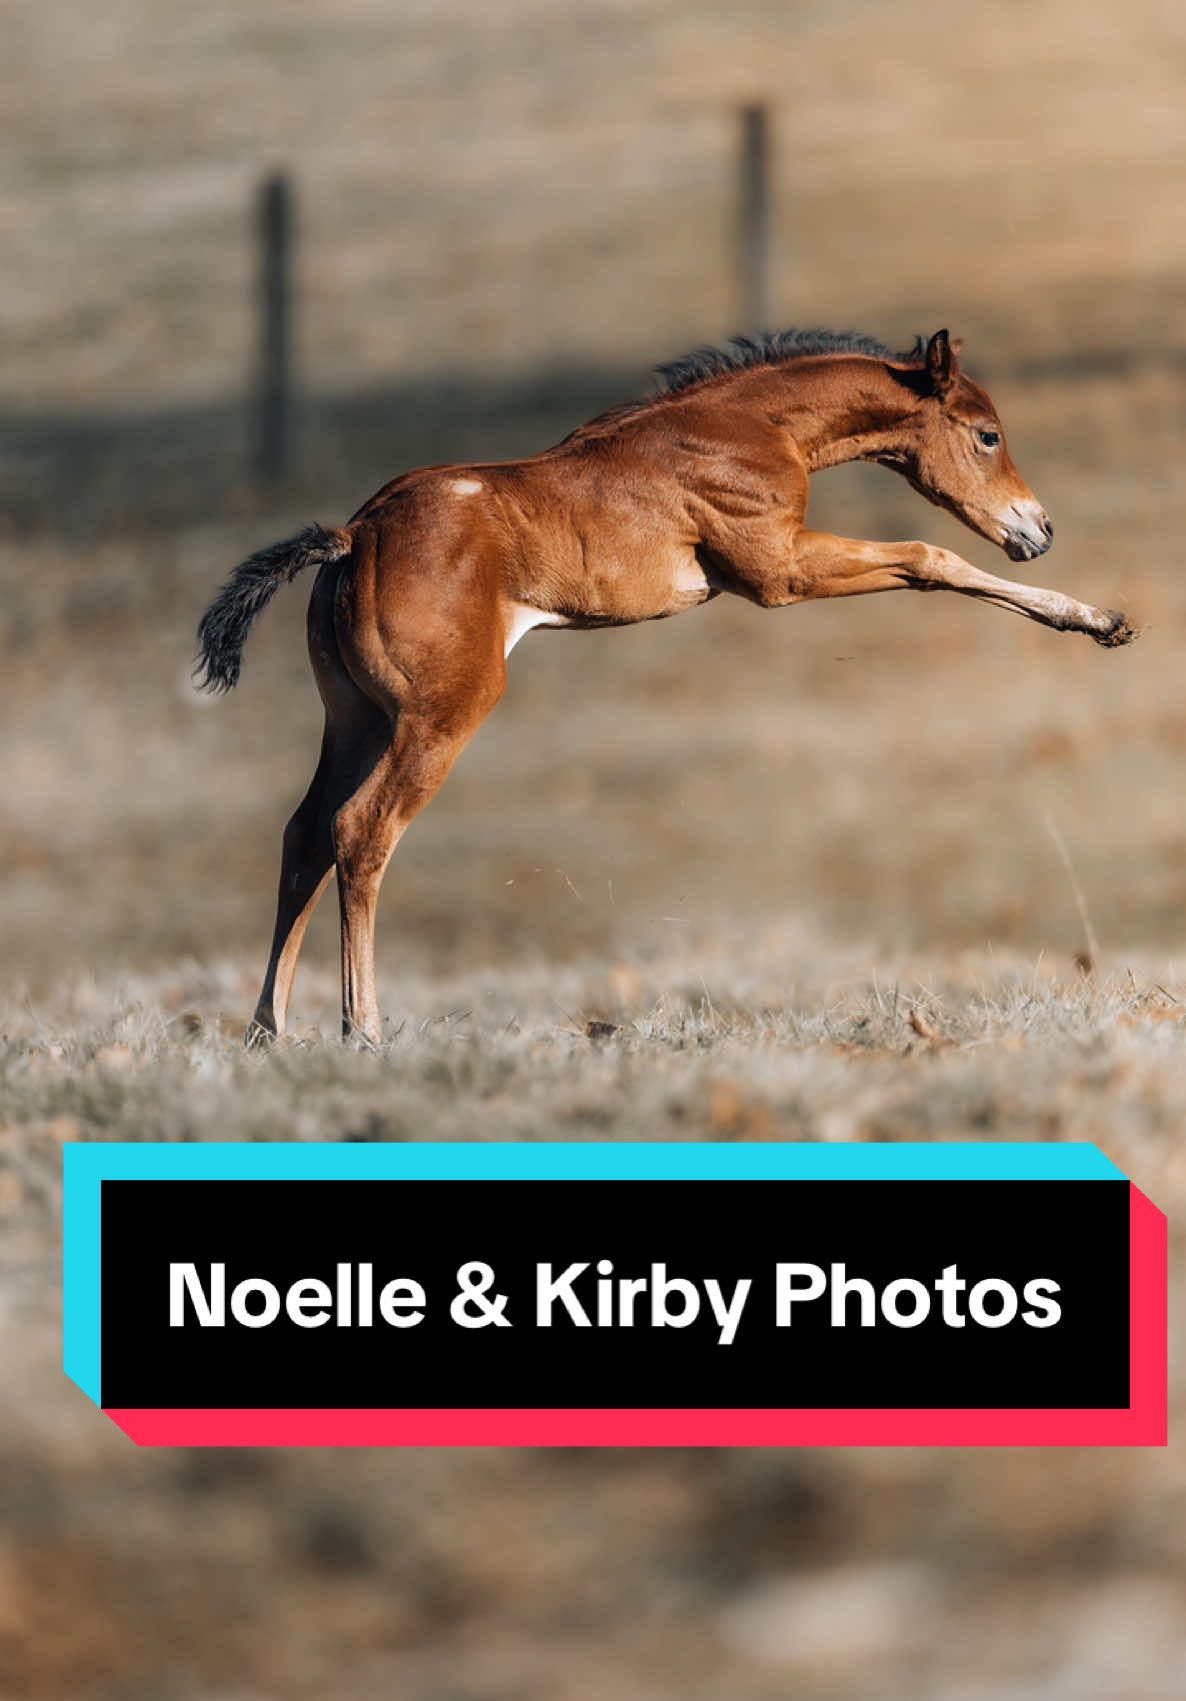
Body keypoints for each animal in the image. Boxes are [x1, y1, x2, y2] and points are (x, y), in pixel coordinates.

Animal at [196, 324, 1136, 1041]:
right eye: (986, 433)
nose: (1038, 528)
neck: (749, 426)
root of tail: (355, 535)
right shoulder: (779, 570)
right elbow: (928, 556)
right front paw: (1095, 618)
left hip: (355, 717)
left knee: (304, 834)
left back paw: (268, 1033)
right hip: (440, 713)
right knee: (361, 831)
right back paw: (362, 1031)